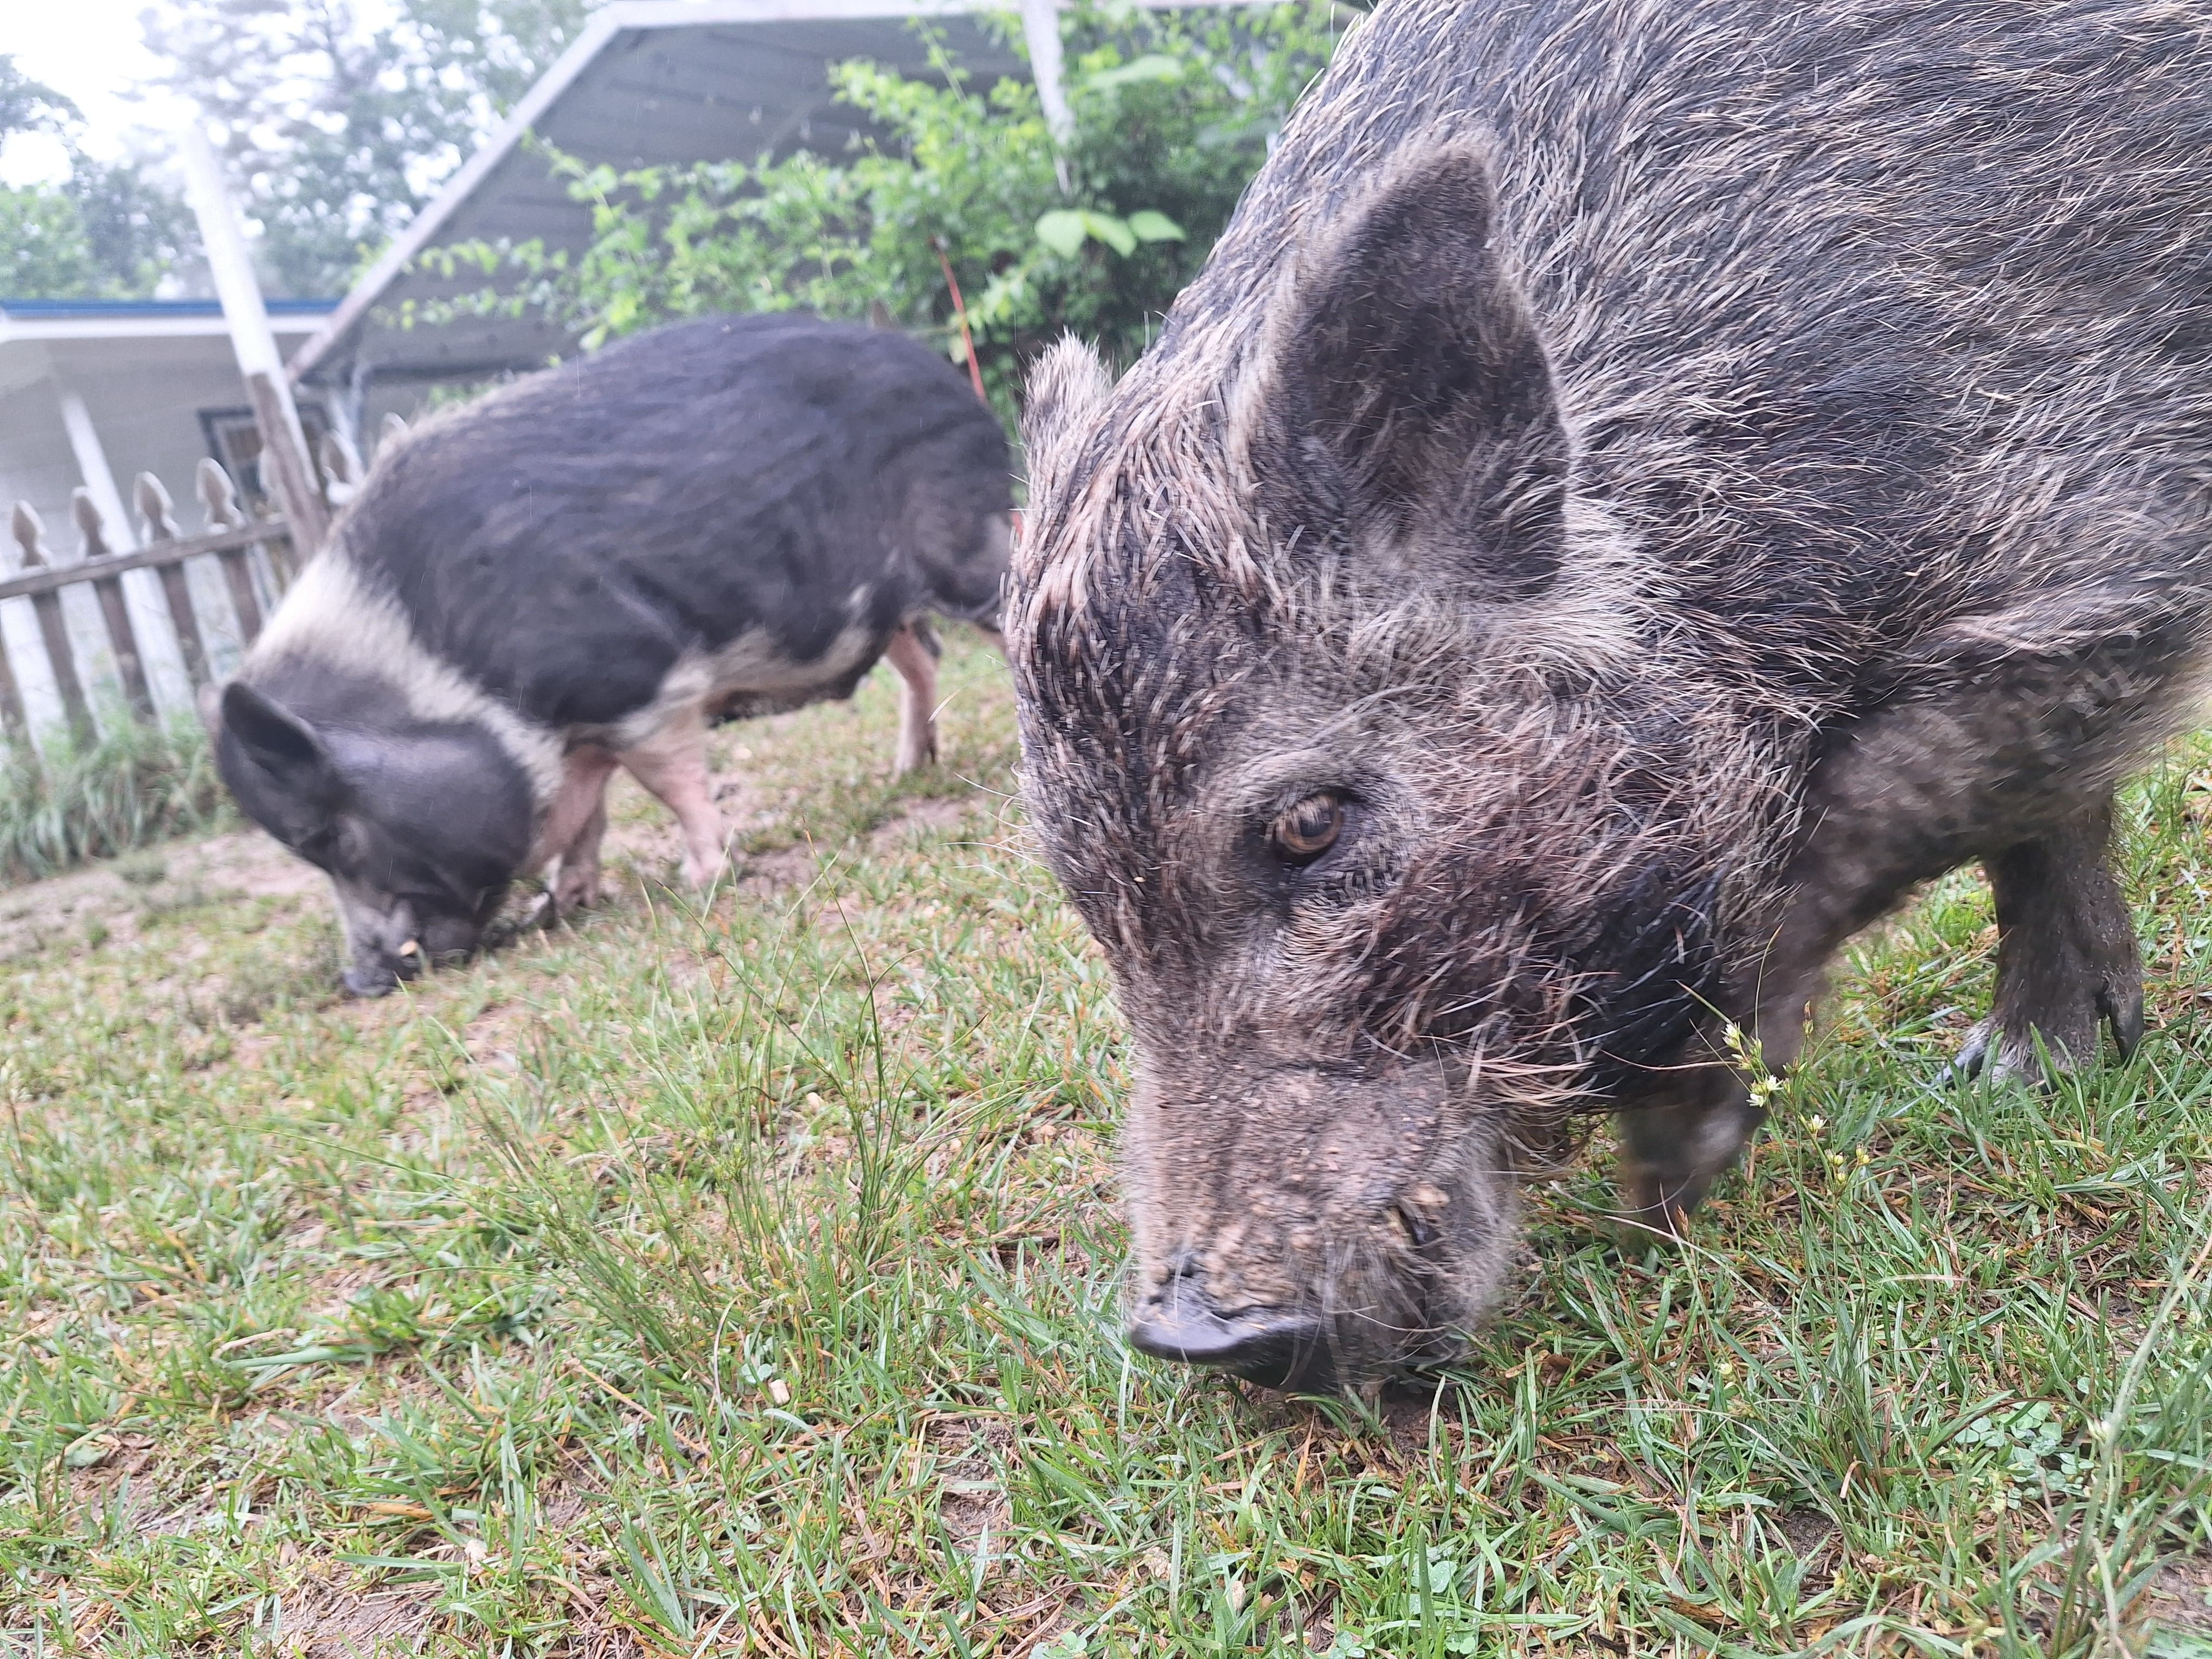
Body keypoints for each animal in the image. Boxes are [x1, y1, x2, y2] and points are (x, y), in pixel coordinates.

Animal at [216, 312, 1011, 996]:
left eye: (333, 836)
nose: (359, 978)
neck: (443, 667)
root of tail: (952, 383)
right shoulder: (582, 736)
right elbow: (588, 817)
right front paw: (564, 905)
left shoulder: (641, 683)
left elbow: (667, 782)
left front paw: (702, 879)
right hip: (888, 609)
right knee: (922, 657)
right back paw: (907, 769)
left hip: (967, 542)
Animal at [1008, 0, 2212, 1392]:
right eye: (1086, 894)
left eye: (1308, 823)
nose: (1188, 1334)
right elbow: (2030, 811)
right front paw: (2026, 1070)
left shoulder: (2114, 533)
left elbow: (1913, 783)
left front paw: (1712, 1150)